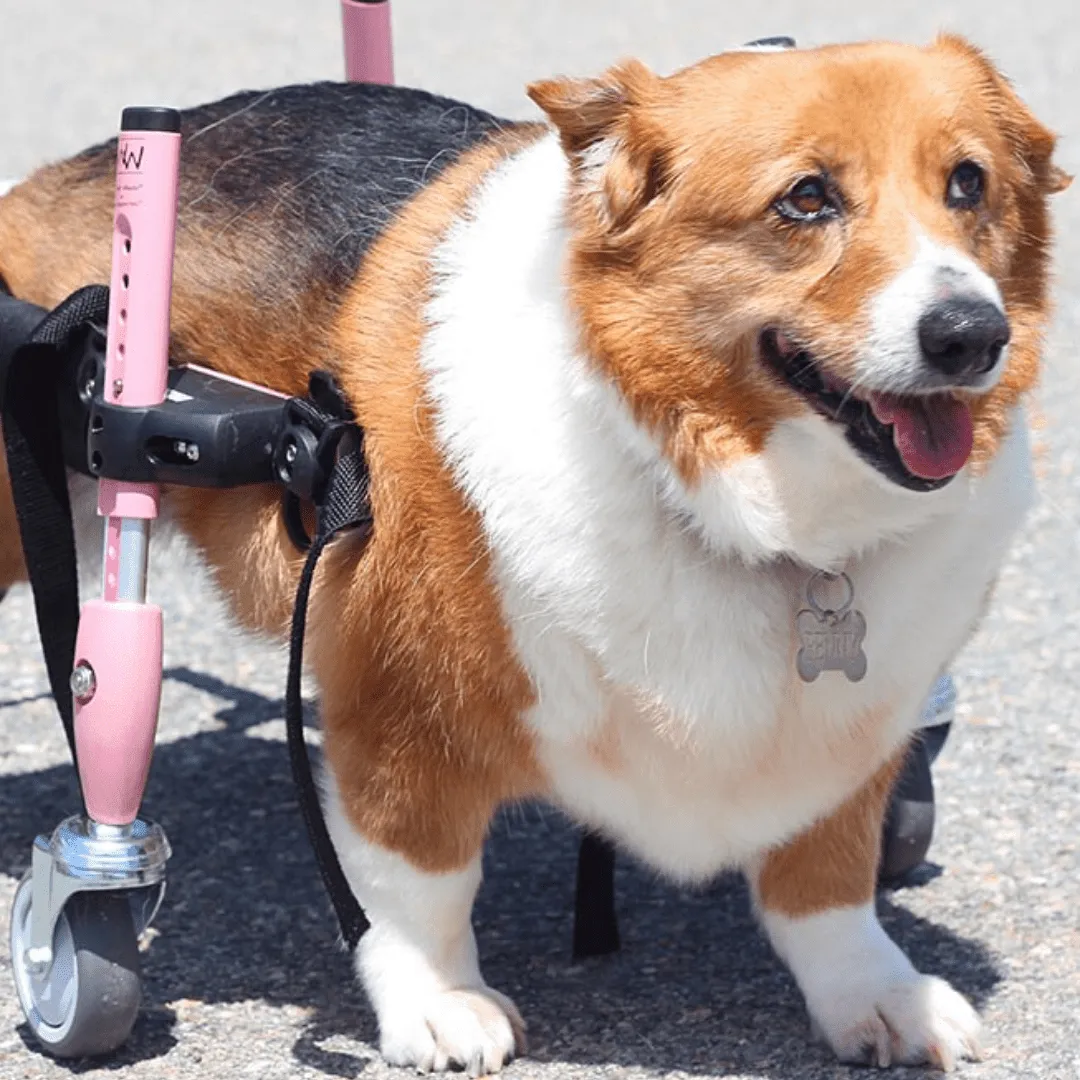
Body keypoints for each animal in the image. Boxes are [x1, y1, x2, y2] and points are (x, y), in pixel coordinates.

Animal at [0, 33, 1067, 1071]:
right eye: (806, 198)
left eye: (967, 183)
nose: (973, 335)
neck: (731, 508)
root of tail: (63, 177)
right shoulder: (397, 717)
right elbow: (419, 885)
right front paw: (441, 1006)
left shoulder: (851, 740)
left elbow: (830, 885)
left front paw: (882, 998)